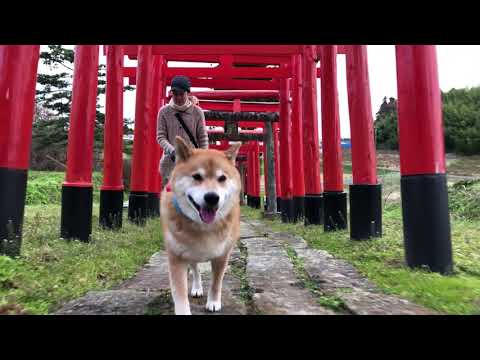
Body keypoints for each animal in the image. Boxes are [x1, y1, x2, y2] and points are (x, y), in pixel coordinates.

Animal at [161, 136, 242, 314]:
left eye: (222, 178)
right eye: (197, 176)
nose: (212, 197)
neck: (203, 227)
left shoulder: (222, 255)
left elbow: (216, 283)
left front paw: (213, 302)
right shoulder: (176, 258)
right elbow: (179, 293)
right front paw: (183, 310)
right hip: (190, 254)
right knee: (196, 270)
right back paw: (197, 288)